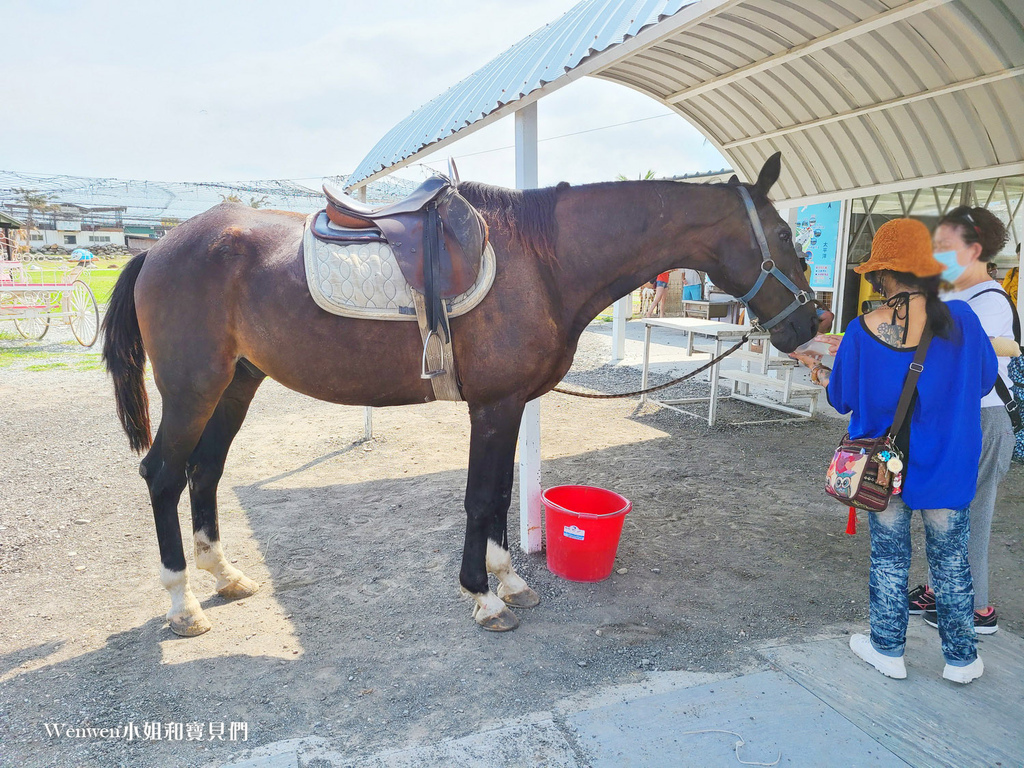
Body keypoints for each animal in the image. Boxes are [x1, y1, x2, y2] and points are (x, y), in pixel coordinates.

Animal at [97, 150, 815, 638]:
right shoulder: (493, 407)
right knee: (163, 474)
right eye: (785, 235)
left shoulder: (511, 404)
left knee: (205, 471)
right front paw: (483, 596)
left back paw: (225, 576)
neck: (545, 261)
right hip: (193, 389)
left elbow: (498, 497)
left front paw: (509, 579)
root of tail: (160, 249)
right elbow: (479, 498)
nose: (812, 322)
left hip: (237, 384)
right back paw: (182, 602)